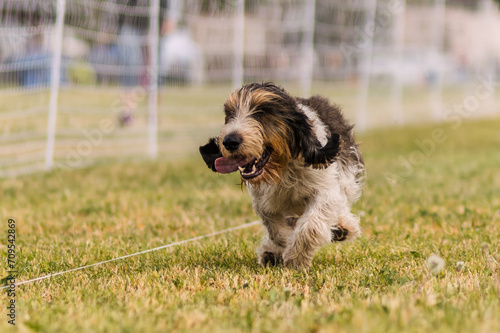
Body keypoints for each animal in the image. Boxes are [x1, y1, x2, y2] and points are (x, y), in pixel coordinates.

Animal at [198, 83, 364, 270]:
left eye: (262, 111)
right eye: (229, 114)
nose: (229, 141)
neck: (282, 168)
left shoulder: (325, 189)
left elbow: (311, 225)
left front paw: (296, 259)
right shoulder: (264, 201)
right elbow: (275, 229)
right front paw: (281, 246)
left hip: (346, 178)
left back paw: (343, 227)